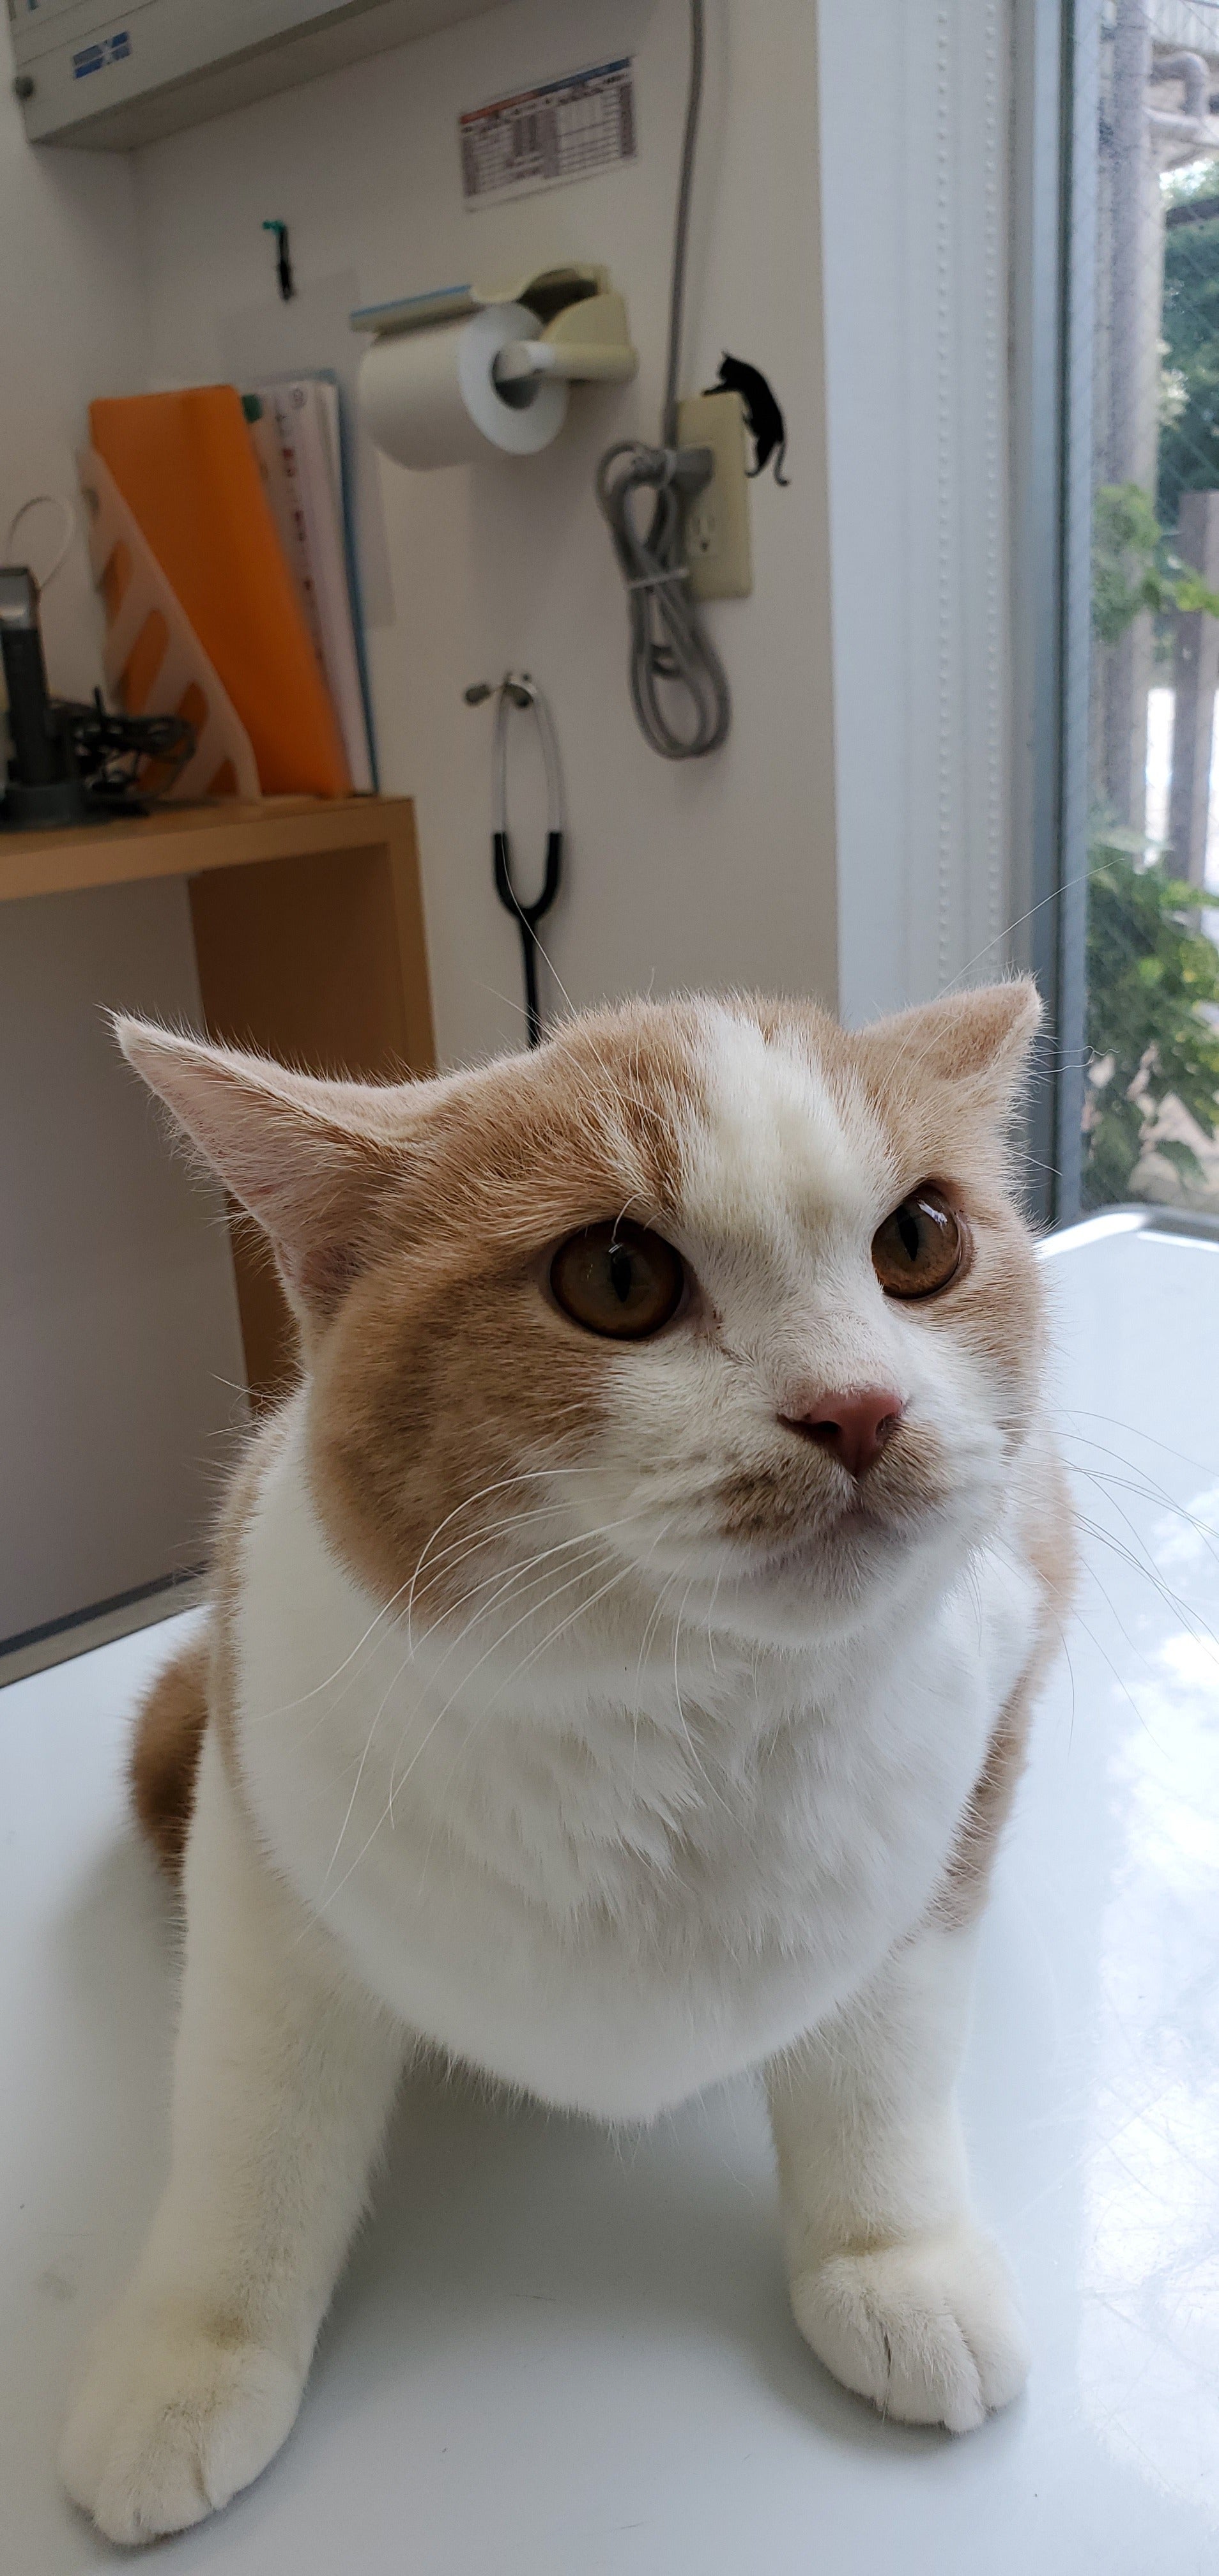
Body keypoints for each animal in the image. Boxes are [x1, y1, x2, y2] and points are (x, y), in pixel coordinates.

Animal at [60, 982, 1072, 2544]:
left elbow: (884, 2057)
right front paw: (194, 2350)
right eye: (615, 1276)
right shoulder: (260, 1831)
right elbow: (253, 2119)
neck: (670, 1723)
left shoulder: (959, 1786)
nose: (858, 1407)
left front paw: (895, 2256)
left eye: (919, 1241)